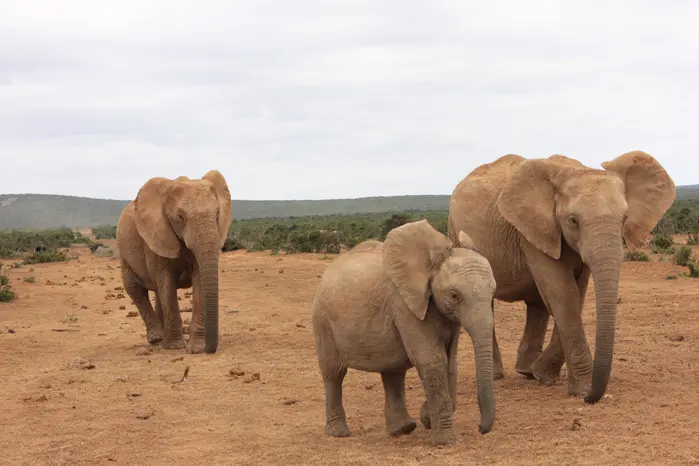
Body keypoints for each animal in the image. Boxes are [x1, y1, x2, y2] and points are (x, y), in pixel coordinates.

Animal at [116, 170, 234, 354]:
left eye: (217, 214)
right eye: (179, 217)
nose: (210, 349)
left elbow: (198, 280)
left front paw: (196, 348)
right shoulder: (156, 235)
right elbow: (166, 283)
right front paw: (176, 347)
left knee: (157, 292)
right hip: (125, 254)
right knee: (136, 290)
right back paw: (157, 338)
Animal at [312, 220, 498, 446]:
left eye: (493, 292)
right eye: (454, 295)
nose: (480, 428)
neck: (430, 263)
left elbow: (450, 361)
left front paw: (426, 418)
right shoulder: (404, 304)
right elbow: (432, 359)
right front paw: (446, 441)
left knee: (393, 370)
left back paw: (403, 429)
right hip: (322, 321)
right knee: (333, 373)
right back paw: (338, 433)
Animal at [452, 151, 676, 402]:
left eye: (625, 218)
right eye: (573, 221)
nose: (590, 397)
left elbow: (576, 293)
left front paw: (542, 375)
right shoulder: (535, 230)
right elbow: (563, 293)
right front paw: (581, 389)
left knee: (537, 303)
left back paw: (526, 371)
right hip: (456, 234)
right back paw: (498, 375)